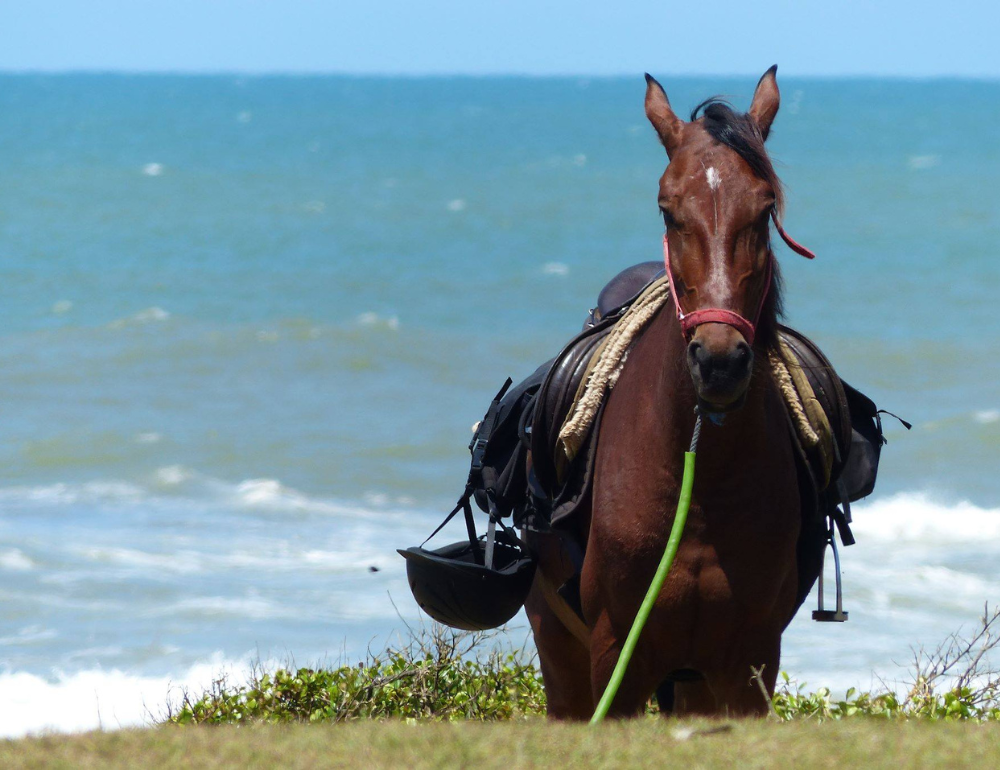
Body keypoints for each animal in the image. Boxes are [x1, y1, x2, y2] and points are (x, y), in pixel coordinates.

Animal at [524, 67, 820, 720]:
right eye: (666, 207)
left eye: (765, 208)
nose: (719, 361)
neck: (700, 475)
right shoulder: (617, 654)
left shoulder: (749, 664)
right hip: (563, 656)